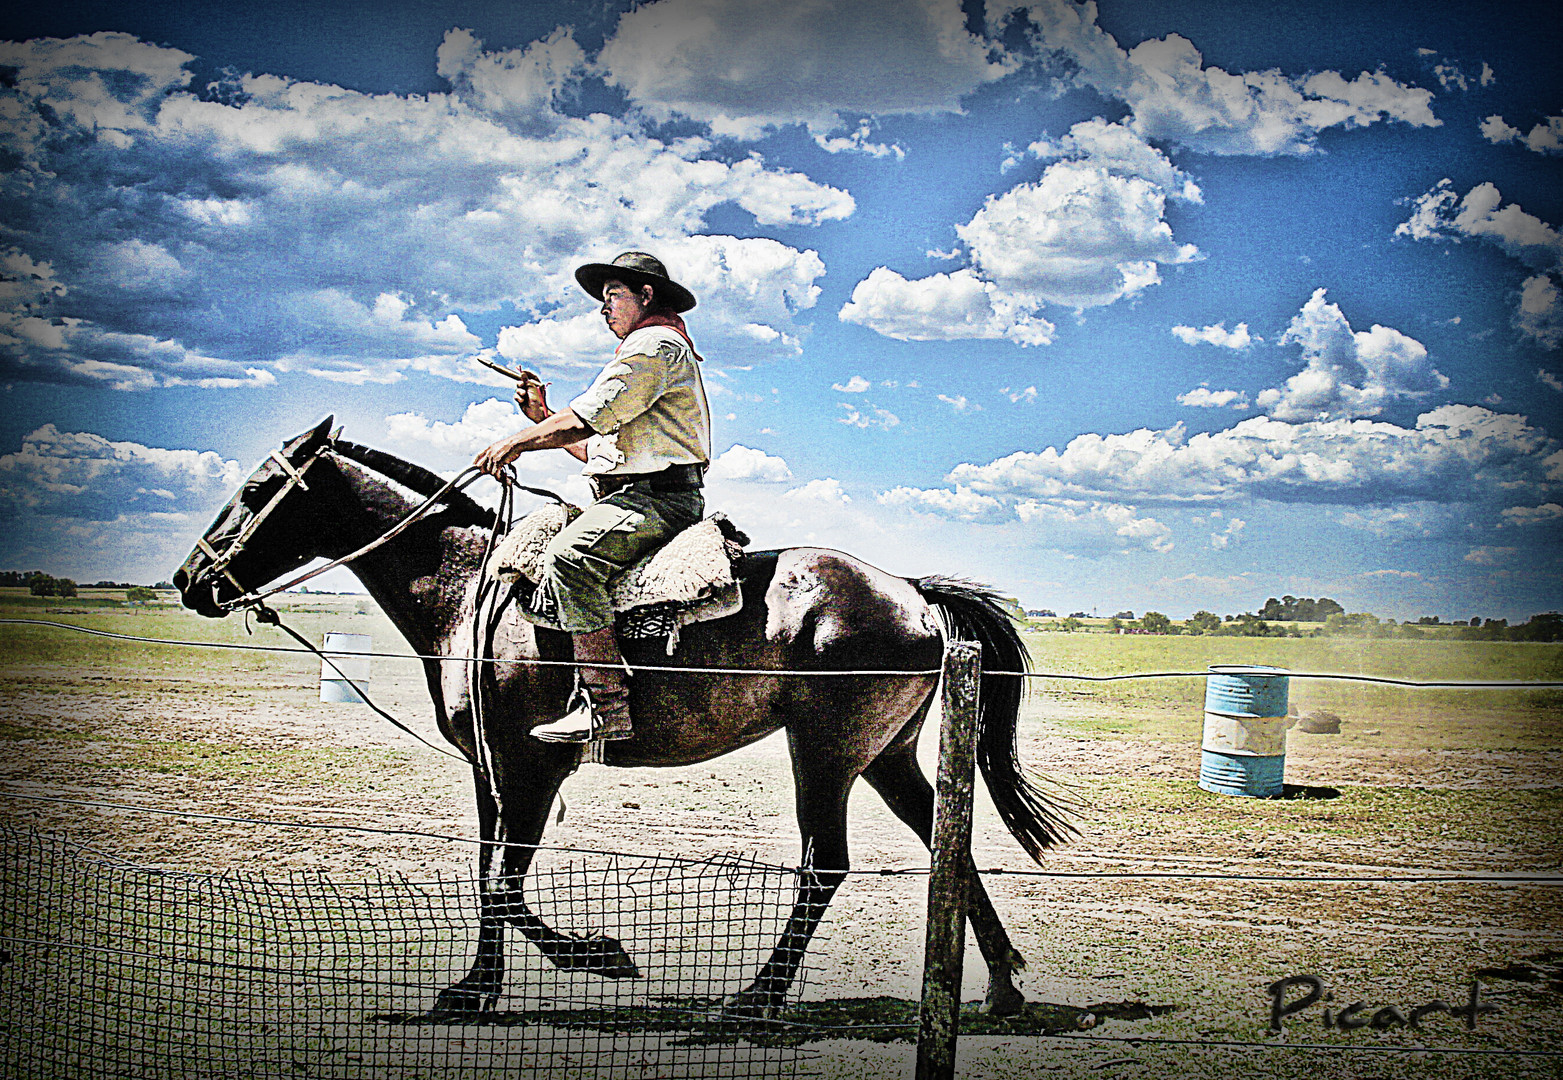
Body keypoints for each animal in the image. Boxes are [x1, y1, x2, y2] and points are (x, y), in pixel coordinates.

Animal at [174, 418, 1075, 1019]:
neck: (469, 587)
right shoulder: (490, 770)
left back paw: (755, 997)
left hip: (824, 754)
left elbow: (505, 883)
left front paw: (597, 956)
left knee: (826, 865)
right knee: (946, 845)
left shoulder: (532, 767)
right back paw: (1000, 985)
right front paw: (474, 988)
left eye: (255, 492)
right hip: (888, 756)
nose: (190, 580)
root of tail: (911, 593)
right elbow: (486, 874)